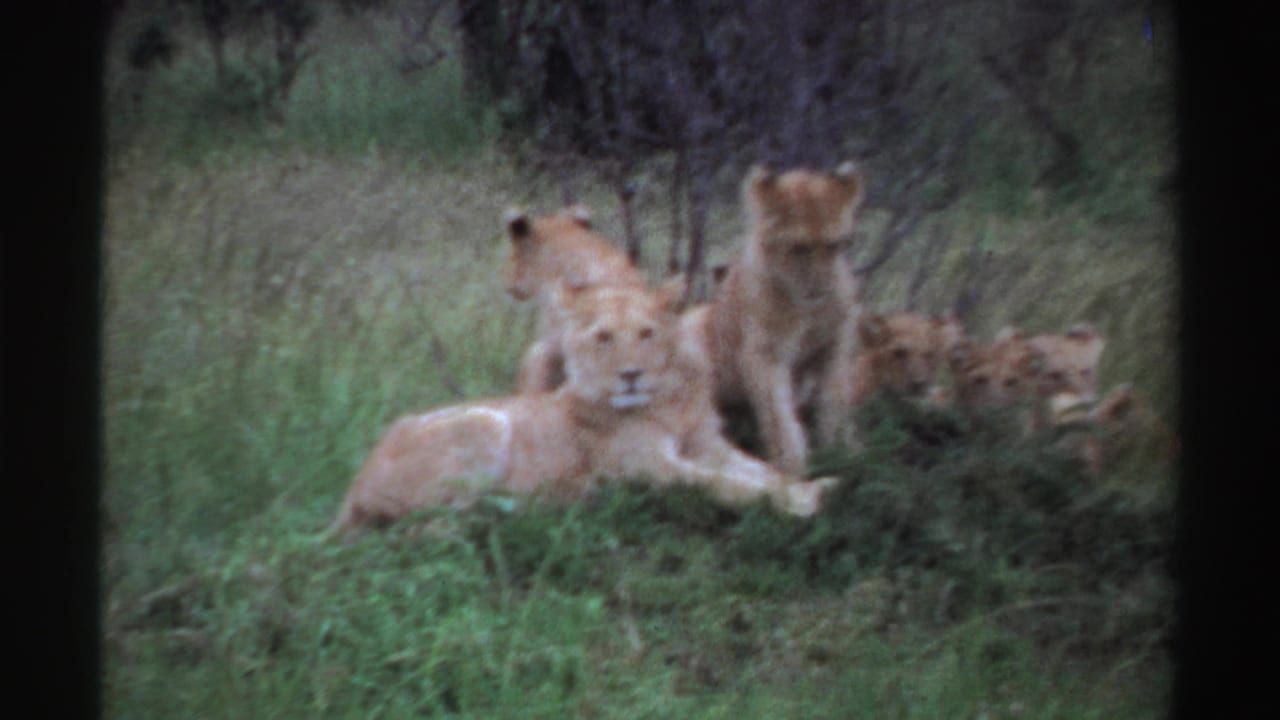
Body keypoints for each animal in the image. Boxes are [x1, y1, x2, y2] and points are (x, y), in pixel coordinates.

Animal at [331, 281, 837, 535]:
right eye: (604, 337)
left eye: (647, 333)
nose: (630, 374)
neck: (668, 402)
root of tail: (353, 489)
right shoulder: (648, 469)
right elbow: (727, 485)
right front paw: (801, 503)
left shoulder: (708, 445)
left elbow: (763, 471)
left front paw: (813, 486)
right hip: (483, 422)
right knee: (431, 521)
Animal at [695, 162, 866, 474]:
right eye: (799, 248)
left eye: (834, 245)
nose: (821, 289)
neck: (806, 307)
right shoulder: (766, 353)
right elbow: (779, 417)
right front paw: (792, 468)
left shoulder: (838, 343)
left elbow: (834, 399)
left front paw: (843, 452)